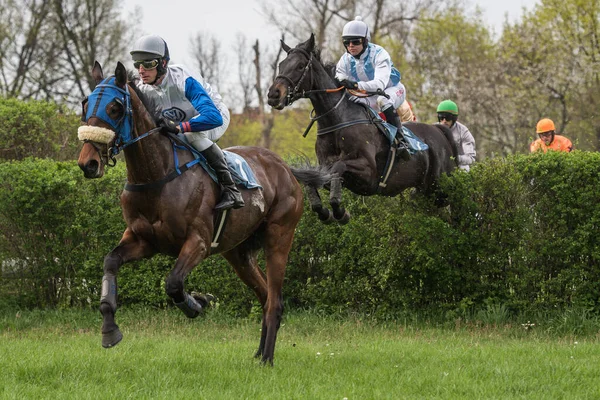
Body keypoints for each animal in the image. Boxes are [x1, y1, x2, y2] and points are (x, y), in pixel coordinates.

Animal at [78, 60, 328, 366]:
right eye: (85, 104)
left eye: (114, 107)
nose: (88, 163)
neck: (157, 176)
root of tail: (285, 168)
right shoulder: (142, 240)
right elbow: (110, 262)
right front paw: (109, 329)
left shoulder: (198, 241)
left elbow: (173, 283)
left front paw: (197, 303)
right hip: (238, 253)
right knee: (265, 295)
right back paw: (258, 354)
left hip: (279, 238)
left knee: (276, 301)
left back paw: (267, 359)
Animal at [264, 32, 458, 223]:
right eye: (281, 65)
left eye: (300, 66)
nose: (274, 94)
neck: (337, 120)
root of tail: (439, 130)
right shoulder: (326, 167)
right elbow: (314, 180)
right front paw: (325, 211)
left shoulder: (369, 174)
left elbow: (338, 166)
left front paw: (339, 210)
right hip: (422, 193)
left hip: (439, 188)